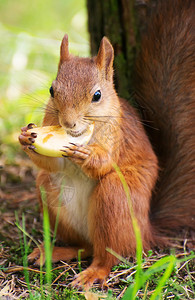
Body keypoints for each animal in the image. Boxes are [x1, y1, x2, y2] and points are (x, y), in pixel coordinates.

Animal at [17, 0, 193, 290]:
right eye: (52, 90)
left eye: (97, 95)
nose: (68, 123)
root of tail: (146, 230)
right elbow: (51, 163)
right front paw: (24, 137)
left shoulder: (117, 136)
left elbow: (106, 162)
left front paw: (87, 155)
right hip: (49, 192)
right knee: (85, 246)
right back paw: (53, 252)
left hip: (116, 197)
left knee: (109, 254)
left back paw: (93, 274)